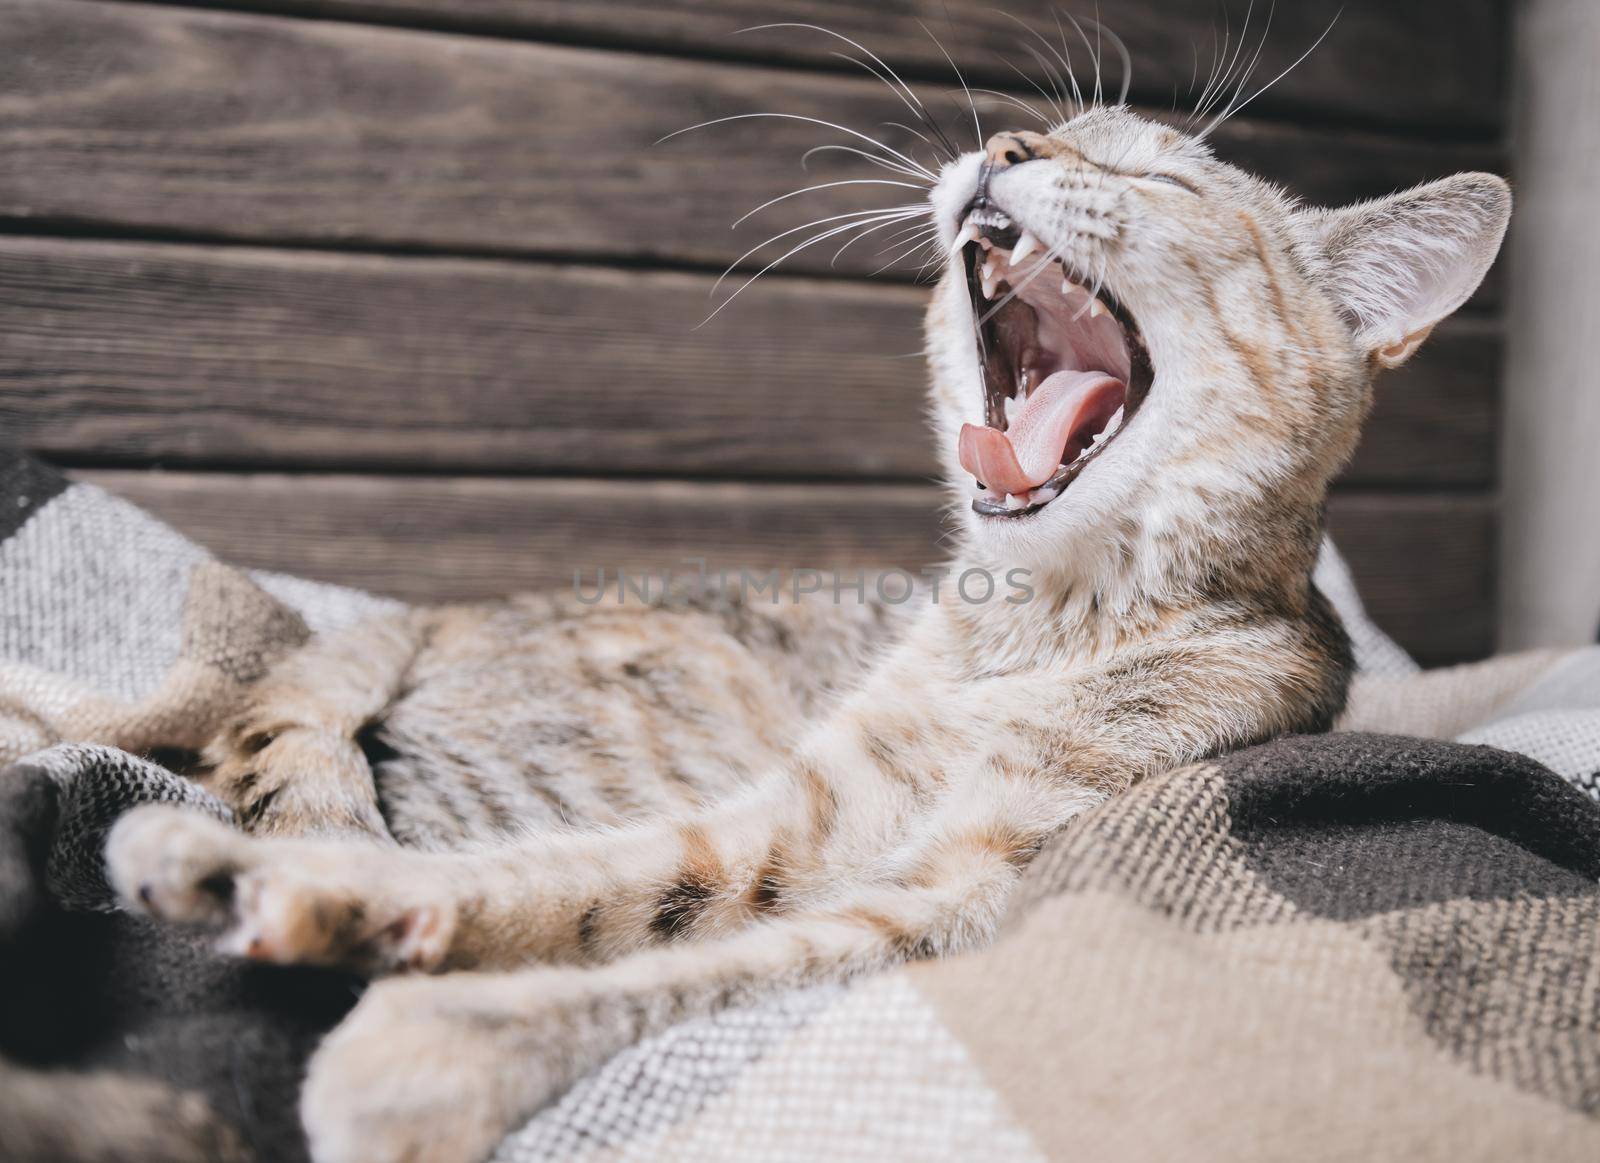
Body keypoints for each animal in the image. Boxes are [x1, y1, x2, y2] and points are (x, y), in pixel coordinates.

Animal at [106, 108, 1504, 1163]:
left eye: (1157, 174)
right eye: (1047, 128)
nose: (1005, 140)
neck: (1018, 629)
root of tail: (444, 608)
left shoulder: (958, 901)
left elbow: (683, 973)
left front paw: (435, 1040)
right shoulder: (774, 821)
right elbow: (553, 878)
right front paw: (266, 874)